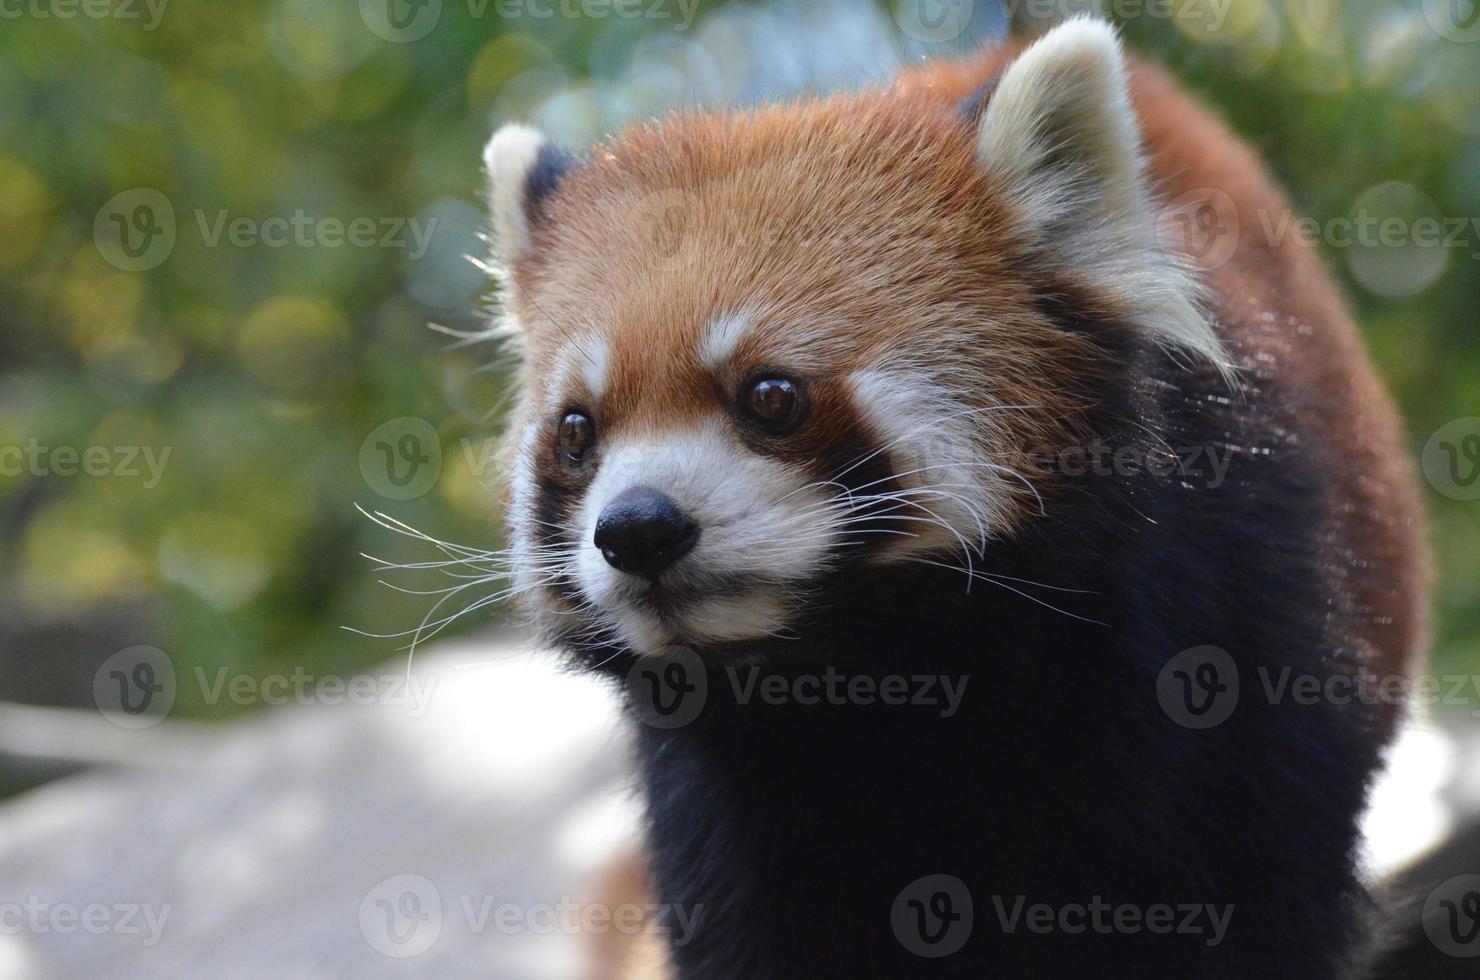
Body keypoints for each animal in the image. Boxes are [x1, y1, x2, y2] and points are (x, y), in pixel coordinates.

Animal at [482, 15, 1420, 980]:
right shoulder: (724, 809)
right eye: (578, 430)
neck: (894, 676)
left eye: (771, 396)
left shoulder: (1238, 641)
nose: (638, 530)